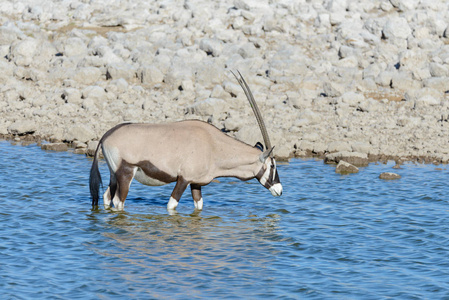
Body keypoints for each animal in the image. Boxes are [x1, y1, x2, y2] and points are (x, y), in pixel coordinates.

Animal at [89, 71, 282, 211]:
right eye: (272, 165)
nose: (279, 190)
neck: (213, 146)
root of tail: (106, 135)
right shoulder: (183, 179)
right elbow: (171, 205)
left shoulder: (196, 183)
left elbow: (199, 206)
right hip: (126, 173)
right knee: (118, 201)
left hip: (114, 174)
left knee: (107, 197)